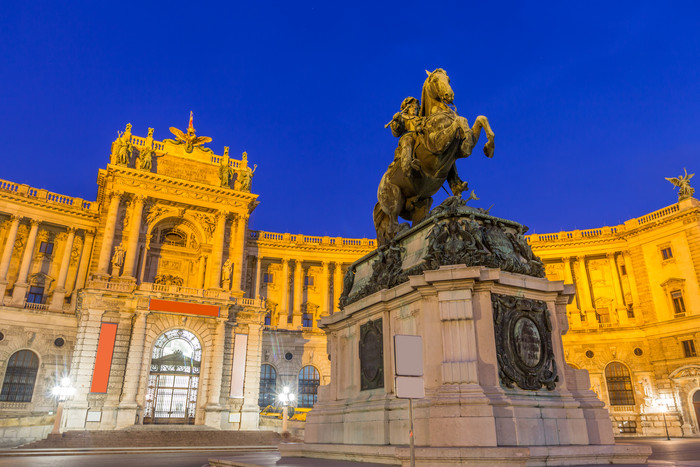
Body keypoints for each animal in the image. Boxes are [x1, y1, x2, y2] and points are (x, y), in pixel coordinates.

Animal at [374, 68, 494, 249]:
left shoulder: (458, 151)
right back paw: (401, 231)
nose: (449, 95)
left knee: (416, 220)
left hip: (423, 201)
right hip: (394, 197)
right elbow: (461, 120)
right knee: (392, 227)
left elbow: (481, 118)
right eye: (435, 80)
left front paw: (489, 147)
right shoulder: (437, 144)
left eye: (448, 79)